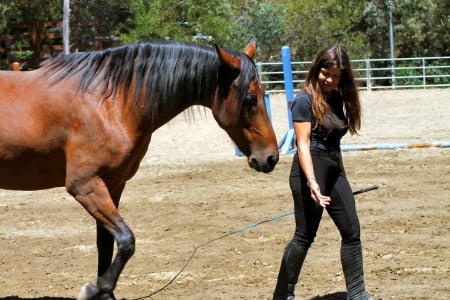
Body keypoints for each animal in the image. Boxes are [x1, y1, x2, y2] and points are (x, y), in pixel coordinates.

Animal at [0, 41, 278, 298]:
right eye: (250, 98)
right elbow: (126, 242)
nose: (270, 157)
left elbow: (106, 244)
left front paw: (105, 293)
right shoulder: (85, 186)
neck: (109, 102)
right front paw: (95, 289)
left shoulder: (113, 185)